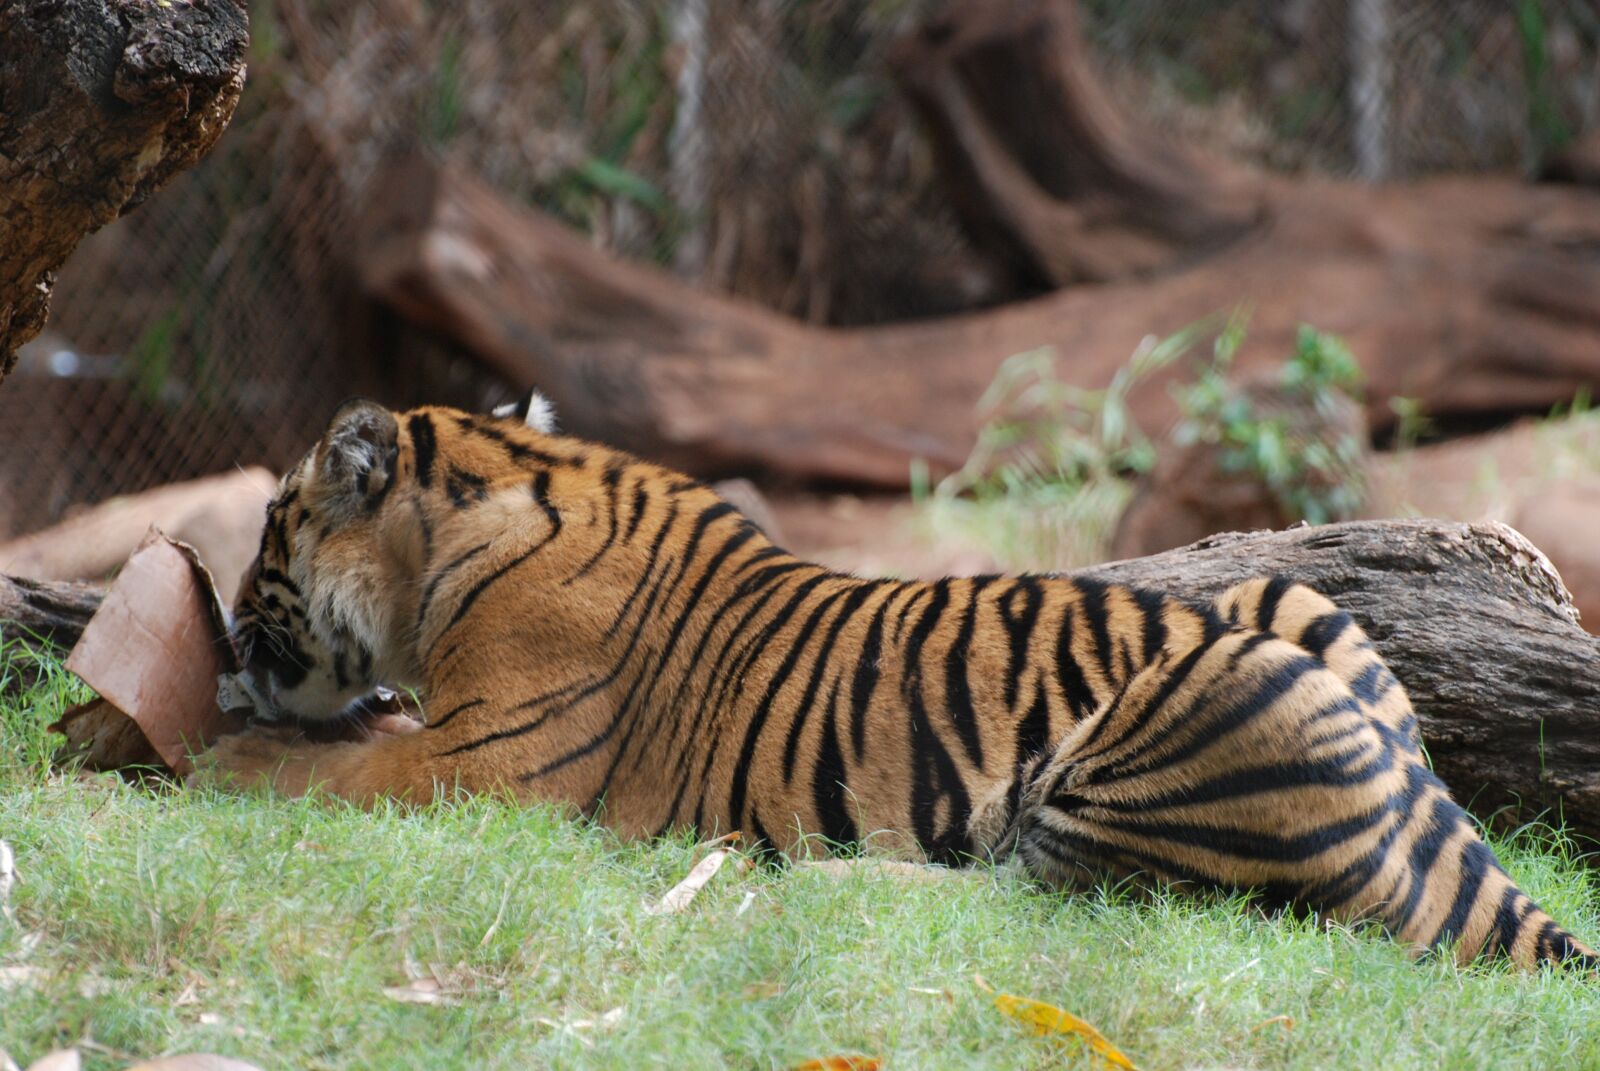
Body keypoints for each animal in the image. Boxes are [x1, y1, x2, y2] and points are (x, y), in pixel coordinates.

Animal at [202, 393, 1598, 972]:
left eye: (267, 524)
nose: (218, 633)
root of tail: (1414, 794)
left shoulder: (481, 762)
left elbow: (328, 767)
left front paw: (208, 752)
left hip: (1176, 715)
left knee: (1051, 899)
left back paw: (805, 874)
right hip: (1297, 608)